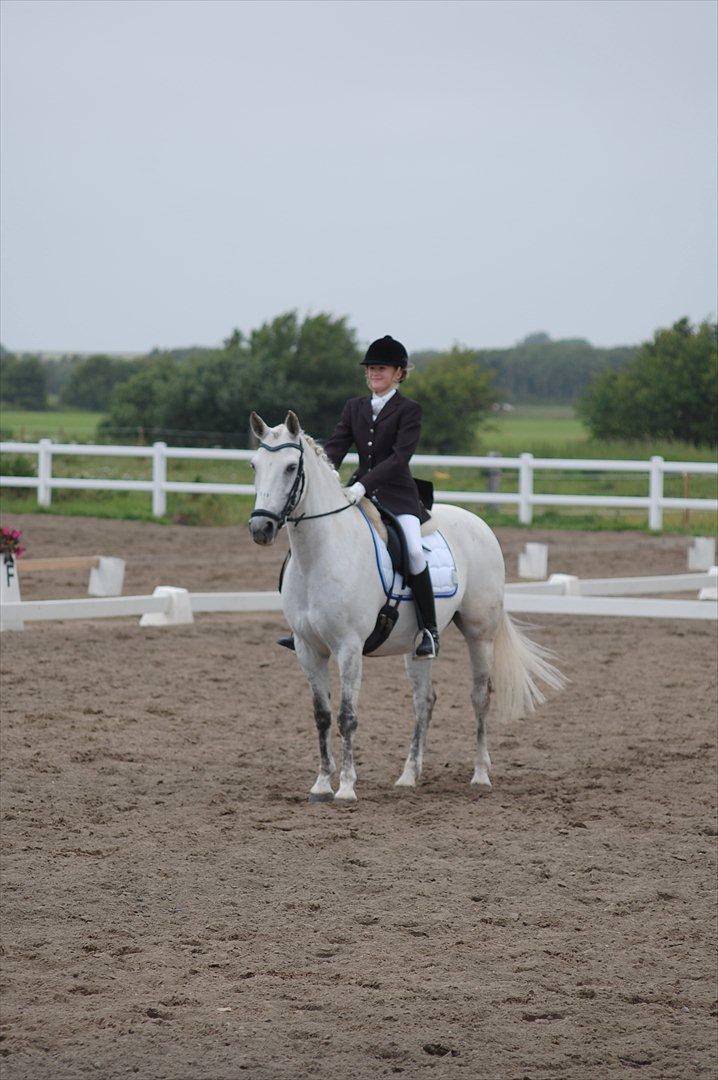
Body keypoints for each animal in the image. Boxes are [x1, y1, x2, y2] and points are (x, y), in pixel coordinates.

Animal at [248, 410, 564, 803]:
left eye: (291, 467)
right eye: (254, 465)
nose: (260, 527)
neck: (319, 555)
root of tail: (477, 521)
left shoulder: (348, 647)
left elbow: (347, 715)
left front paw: (346, 788)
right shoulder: (308, 648)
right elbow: (322, 715)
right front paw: (321, 785)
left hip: (480, 634)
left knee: (480, 697)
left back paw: (479, 775)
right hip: (417, 647)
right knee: (424, 701)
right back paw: (409, 775)